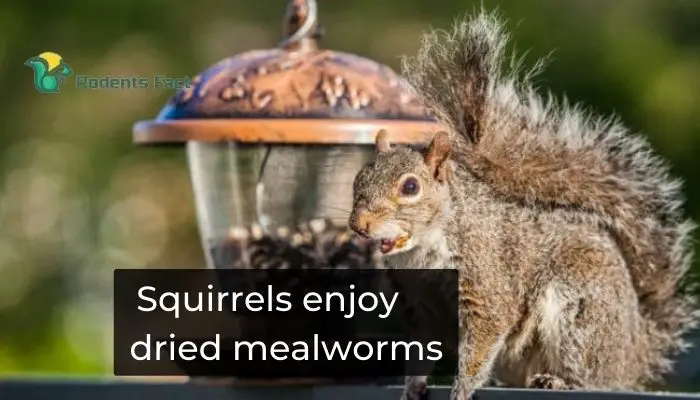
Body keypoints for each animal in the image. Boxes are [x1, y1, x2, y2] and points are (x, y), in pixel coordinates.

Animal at [348, 8, 696, 400]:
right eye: (358, 180)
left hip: (580, 308)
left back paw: (560, 381)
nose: (359, 224)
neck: (423, 252)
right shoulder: (419, 308)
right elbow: (419, 352)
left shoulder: (486, 287)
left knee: (590, 373)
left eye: (410, 187)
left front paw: (460, 391)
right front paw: (413, 387)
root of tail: (633, 355)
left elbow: (481, 342)